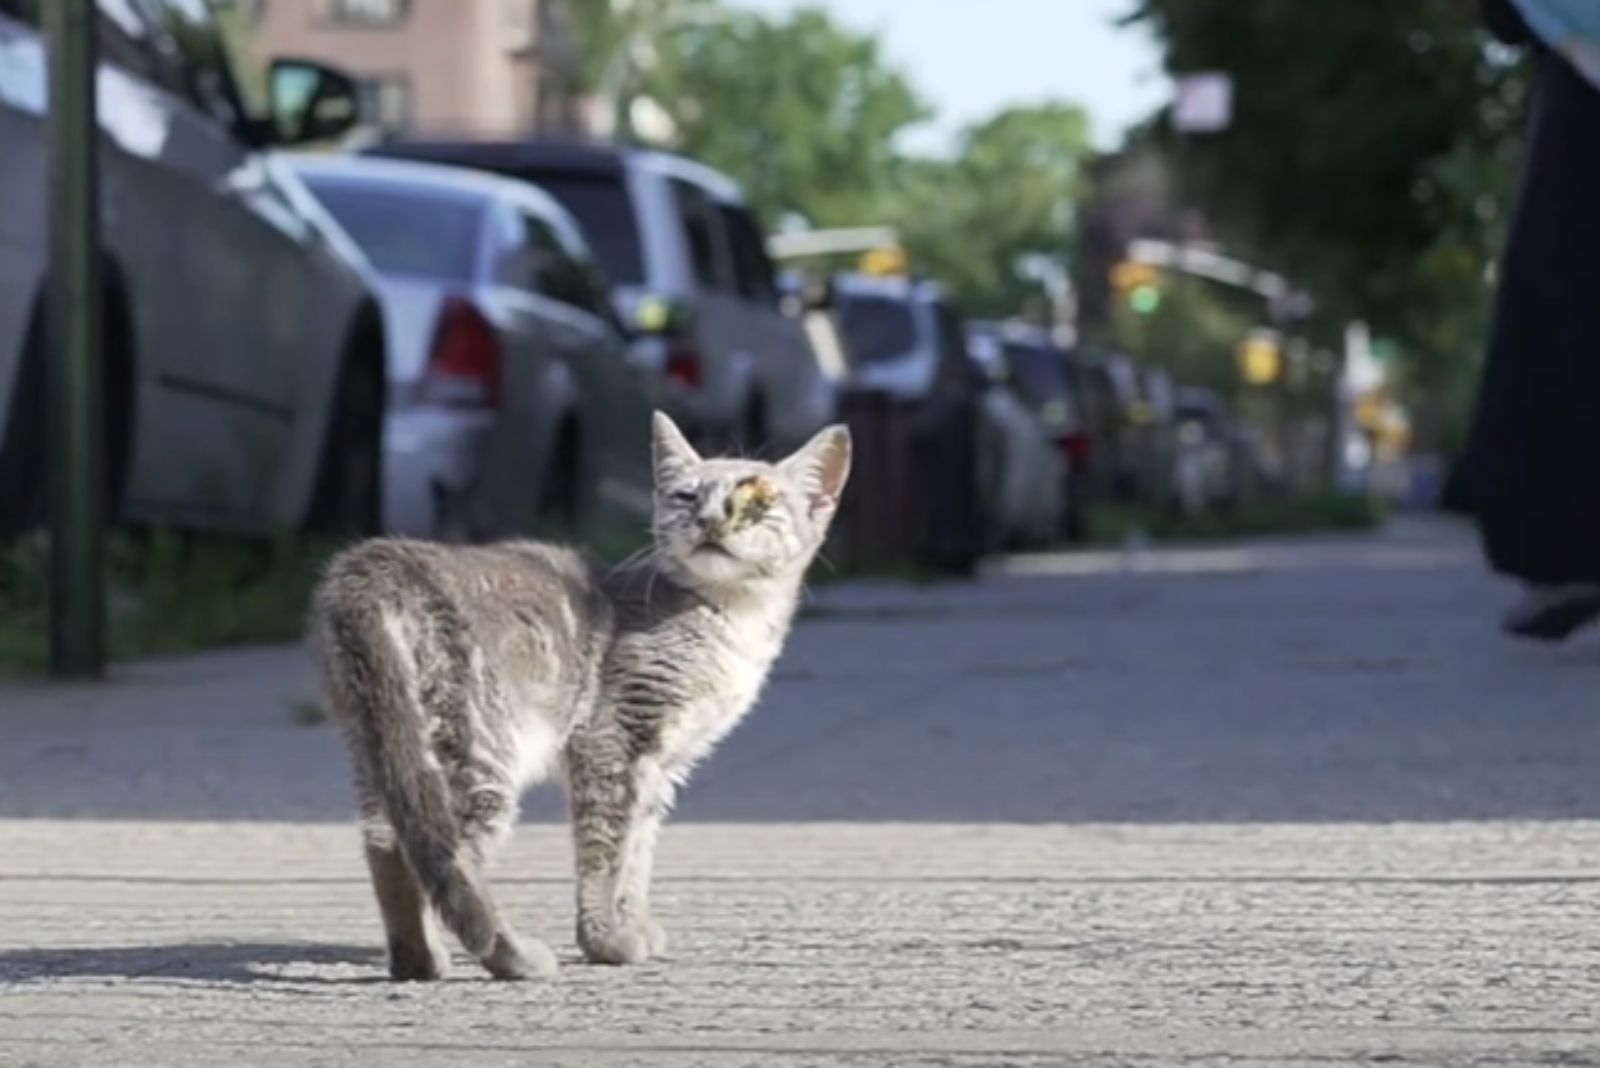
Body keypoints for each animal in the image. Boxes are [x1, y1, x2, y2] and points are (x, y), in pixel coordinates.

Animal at [302, 412, 851, 978]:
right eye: (685, 496)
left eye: (758, 500)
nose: (710, 520)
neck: (731, 621)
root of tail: (378, 564)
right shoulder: (612, 740)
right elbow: (608, 852)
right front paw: (606, 939)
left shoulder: (662, 766)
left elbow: (638, 854)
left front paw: (632, 923)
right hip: (478, 751)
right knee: (448, 858)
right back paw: (511, 955)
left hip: (382, 742)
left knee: (388, 843)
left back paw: (418, 960)